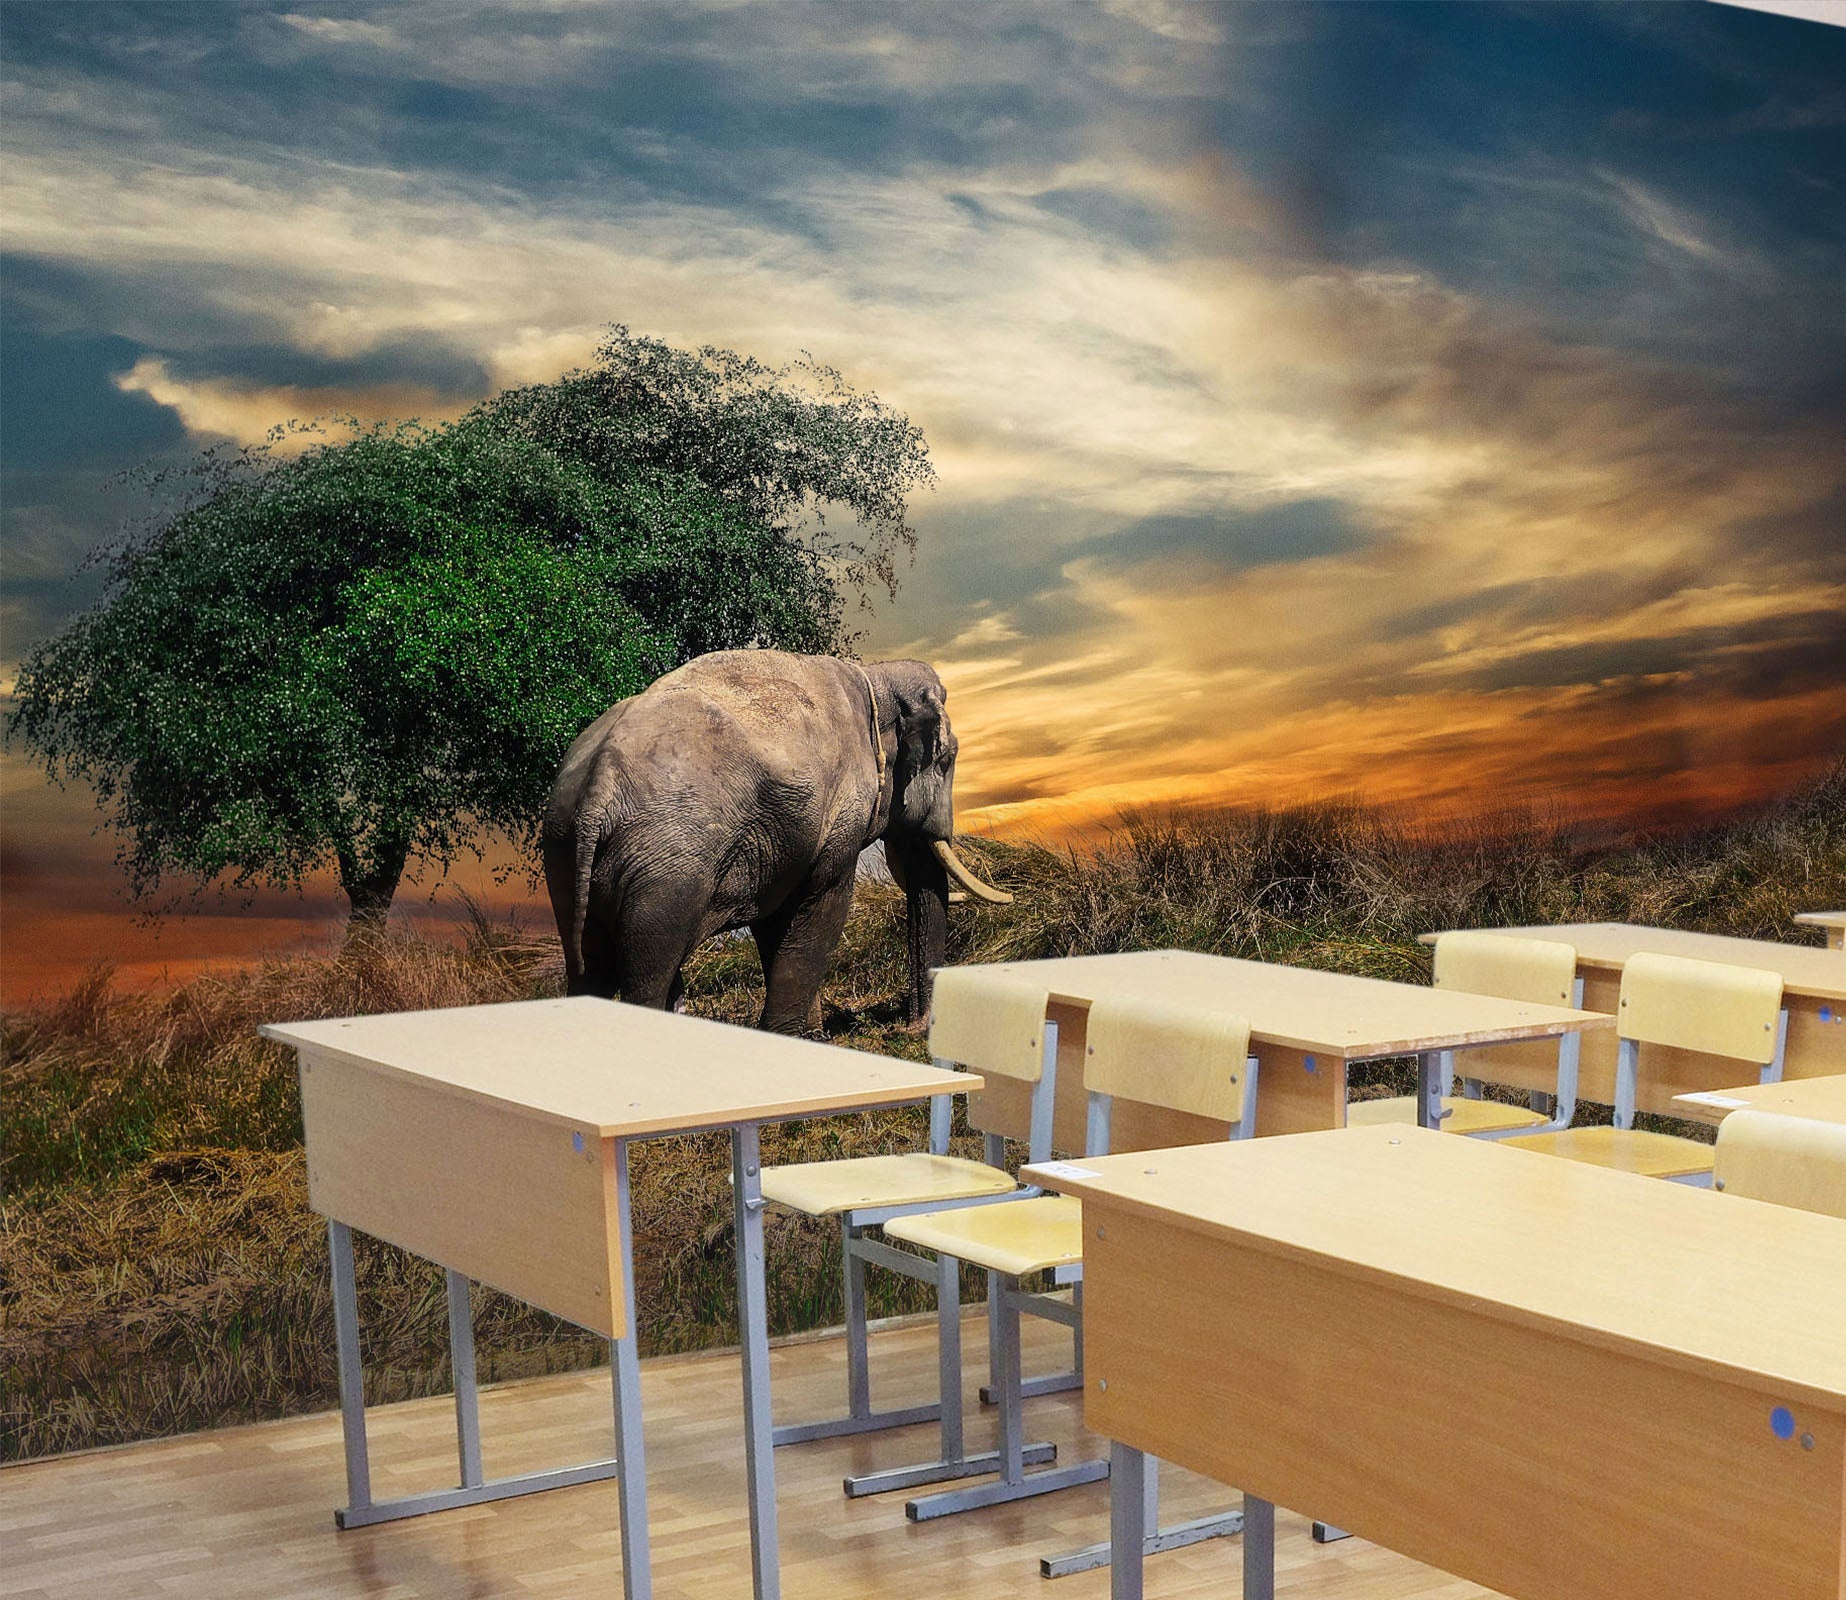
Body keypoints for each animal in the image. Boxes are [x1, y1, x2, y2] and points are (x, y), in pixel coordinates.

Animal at [542, 648, 1012, 1034]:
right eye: (948, 760)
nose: (908, 1027)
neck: (874, 676)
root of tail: (598, 787)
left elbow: (775, 922)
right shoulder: (836, 821)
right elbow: (821, 911)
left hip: (565, 857)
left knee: (589, 968)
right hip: (666, 870)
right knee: (648, 973)